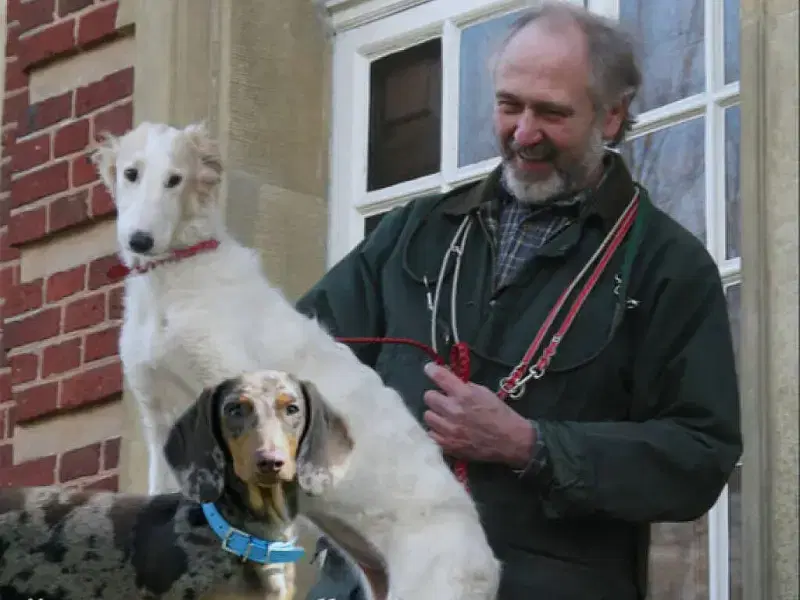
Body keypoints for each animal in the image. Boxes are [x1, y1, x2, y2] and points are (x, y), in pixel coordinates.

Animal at [91, 121, 502, 600]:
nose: (140, 241)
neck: (173, 286)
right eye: (131, 173)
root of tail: (487, 562)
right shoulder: (159, 418)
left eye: (175, 179)